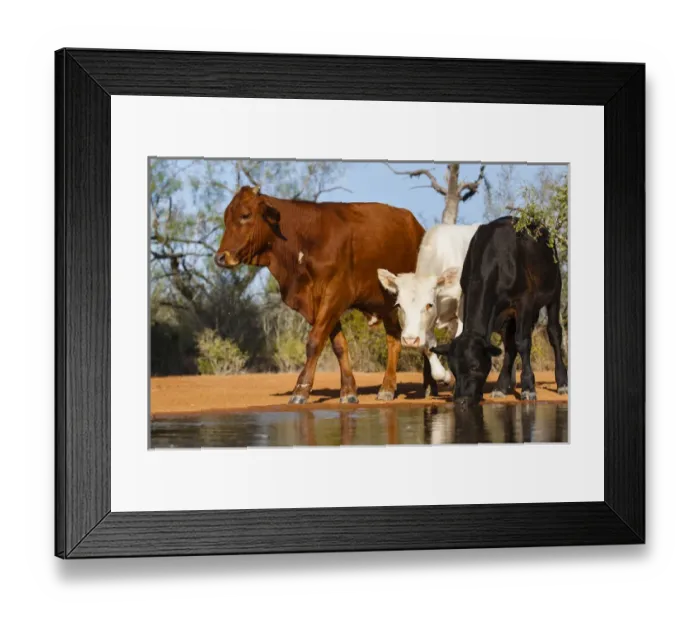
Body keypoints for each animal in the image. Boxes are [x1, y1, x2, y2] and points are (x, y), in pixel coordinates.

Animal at [214, 185, 426, 404]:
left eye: (245, 215)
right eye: (226, 218)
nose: (221, 257)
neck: (305, 240)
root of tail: (417, 227)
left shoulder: (335, 295)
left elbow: (314, 342)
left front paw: (300, 390)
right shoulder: (316, 304)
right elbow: (339, 345)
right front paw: (348, 391)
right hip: (386, 304)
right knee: (394, 339)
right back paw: (387, 388)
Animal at [377, 223, 479, 397]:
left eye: (429, 305)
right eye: (399, 305)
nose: (409, 340)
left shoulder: (461, 315)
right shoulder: (426, 328)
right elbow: (429, 349)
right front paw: (446, 377)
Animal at [430, 216, 568, 406]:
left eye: (474, 366)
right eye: (453, 369)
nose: (461, 399)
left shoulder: (524, 301)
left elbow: (522, 342)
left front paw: (528, 388)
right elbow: (511, 344)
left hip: (554, 292)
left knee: (554, 333)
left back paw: (562, 383)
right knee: (510, 345)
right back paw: (501, 387)